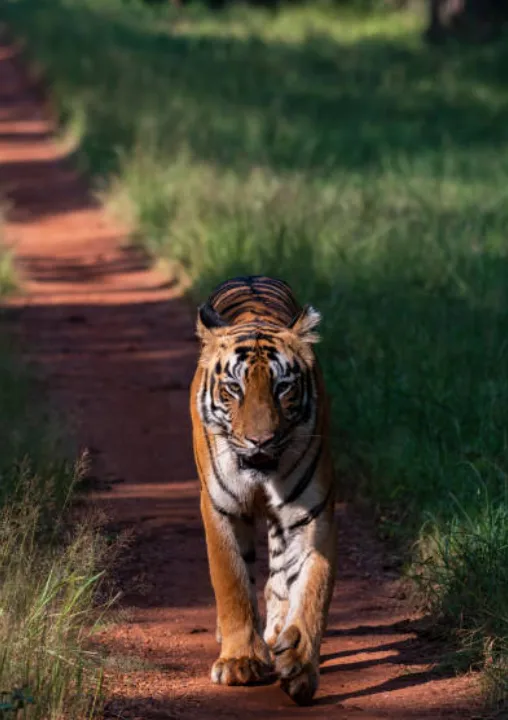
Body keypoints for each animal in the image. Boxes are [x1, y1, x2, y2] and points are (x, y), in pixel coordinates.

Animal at [190, 275, 336, 706]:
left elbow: (311, 587)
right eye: (234, 388)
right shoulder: (221, 508)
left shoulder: (309, 514)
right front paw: (240, 662)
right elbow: (232, 582)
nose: (261, 441)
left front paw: (300, 663)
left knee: (279, 574)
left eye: (283, 387)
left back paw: (276, 632)